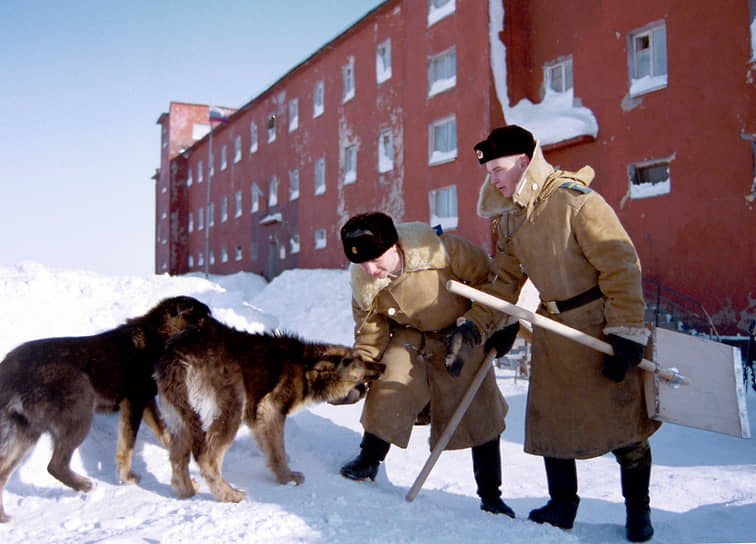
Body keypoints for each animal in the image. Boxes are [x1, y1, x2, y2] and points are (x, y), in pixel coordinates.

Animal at [0, 298, 211, 524]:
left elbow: (163, 433)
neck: (158, 336)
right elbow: (128, 446)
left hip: (26, 433)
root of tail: (10, 374)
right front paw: (127, 477)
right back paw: (85, 485)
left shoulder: (145, 402)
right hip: (79, 410)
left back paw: (4, 516)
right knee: (55, 465)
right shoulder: (134, 401)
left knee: (4, 471)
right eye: (204, 319)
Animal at [157, 320, 386, 504]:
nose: (383, 366)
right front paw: (287, 478)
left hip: (181, 422)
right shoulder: (271, 409)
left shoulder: (258, 416)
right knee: (207, 458)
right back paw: (228, 494)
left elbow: (271, 447)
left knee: (178, 459)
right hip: (230, 411)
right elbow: (277, 451)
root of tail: (178, 354)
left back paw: (187, 491)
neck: (305, 368)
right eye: (359, 360)